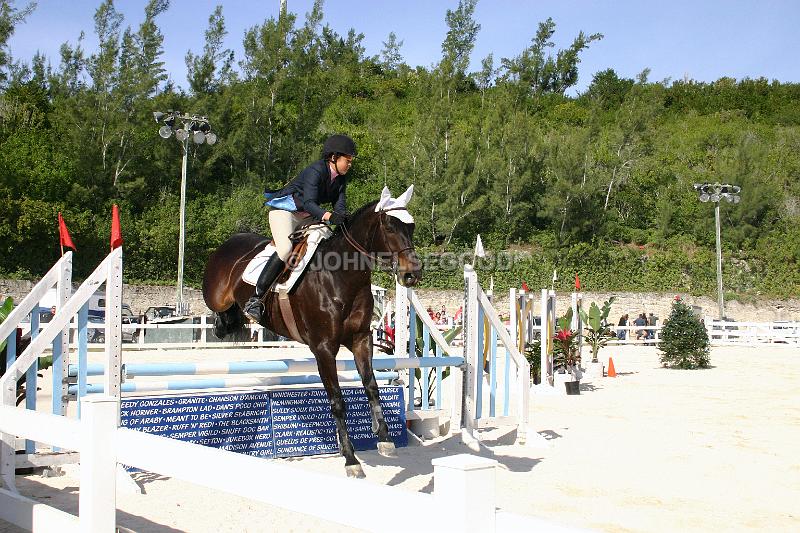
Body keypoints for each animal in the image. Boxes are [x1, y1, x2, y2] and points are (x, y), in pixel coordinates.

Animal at [200, 185, 422, 476]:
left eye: (412, 227)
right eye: (389, 226)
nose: (412, 274)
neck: (342, 277)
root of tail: (230, 241)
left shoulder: (361, 339)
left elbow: (371, 385)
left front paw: (384, 438)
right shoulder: (324, 348)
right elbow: (337, 401)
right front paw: (351, 458)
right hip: (216, 295)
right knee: (218, 309)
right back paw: (227, 321)